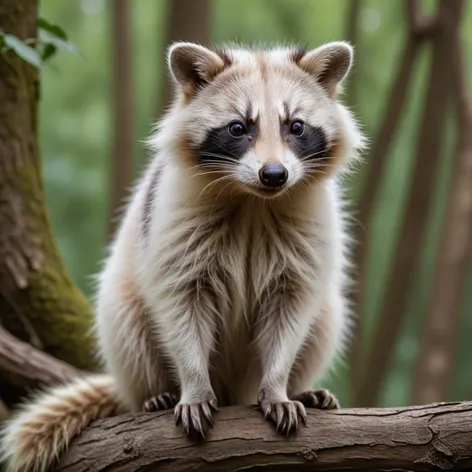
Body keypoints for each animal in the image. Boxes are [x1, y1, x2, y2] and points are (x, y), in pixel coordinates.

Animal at [0, 41, 366, 472]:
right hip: (123, 306)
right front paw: (193, 386)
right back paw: (154, 393)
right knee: (125, 321)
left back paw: (301, 387)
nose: (274, 174)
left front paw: (277, 384)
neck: (254, 202)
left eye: (296, 126)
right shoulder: (174, 227)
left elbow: (292, 309)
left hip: (318, 314)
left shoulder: (309, 234)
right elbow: (180, 306)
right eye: (238, 127)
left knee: (327, 318)